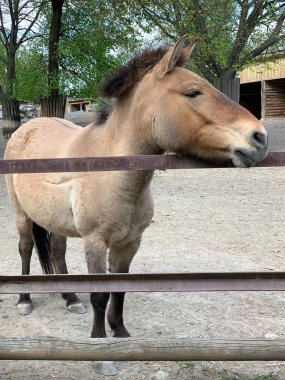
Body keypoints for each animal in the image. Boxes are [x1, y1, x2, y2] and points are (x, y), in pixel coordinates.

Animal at [3, 36, 266, 338]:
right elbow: (99, 296)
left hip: (54, 219)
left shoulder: (129, 243)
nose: (259, 137)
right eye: (193, 93)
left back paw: (70, 298)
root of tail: (27, 127)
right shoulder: (95, 243)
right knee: (25, 247)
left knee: (57, 251)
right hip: (21, 213)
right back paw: (24, 299)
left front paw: (120, 332)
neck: (112, 174)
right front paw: (99, 341)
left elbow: (120, 290)